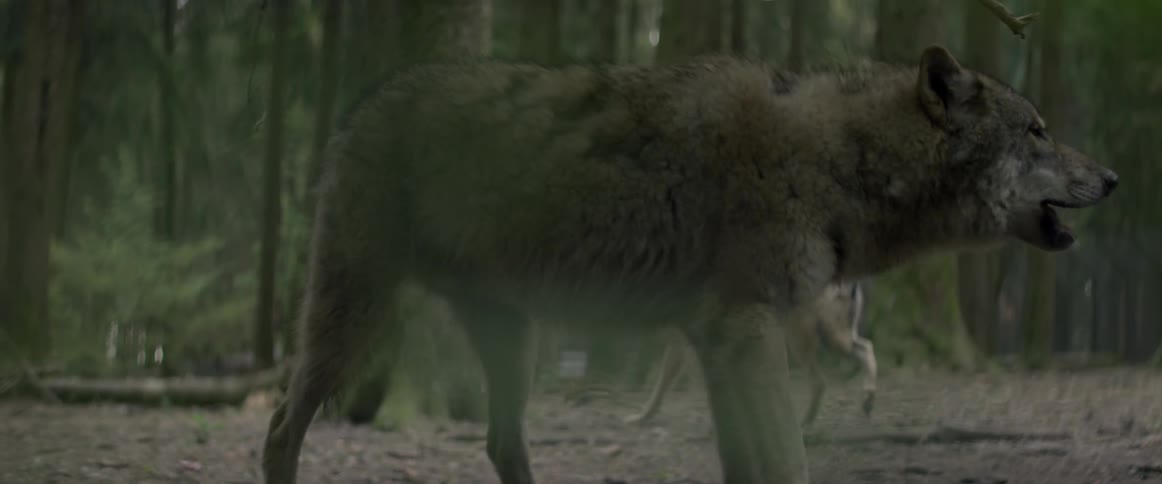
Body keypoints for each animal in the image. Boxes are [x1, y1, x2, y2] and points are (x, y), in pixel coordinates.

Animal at [623, 280, 873, 427]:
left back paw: (805, 423)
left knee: (822, 380)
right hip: (830, 338)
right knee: (866, 348)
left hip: (802, 339)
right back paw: (867, 401)